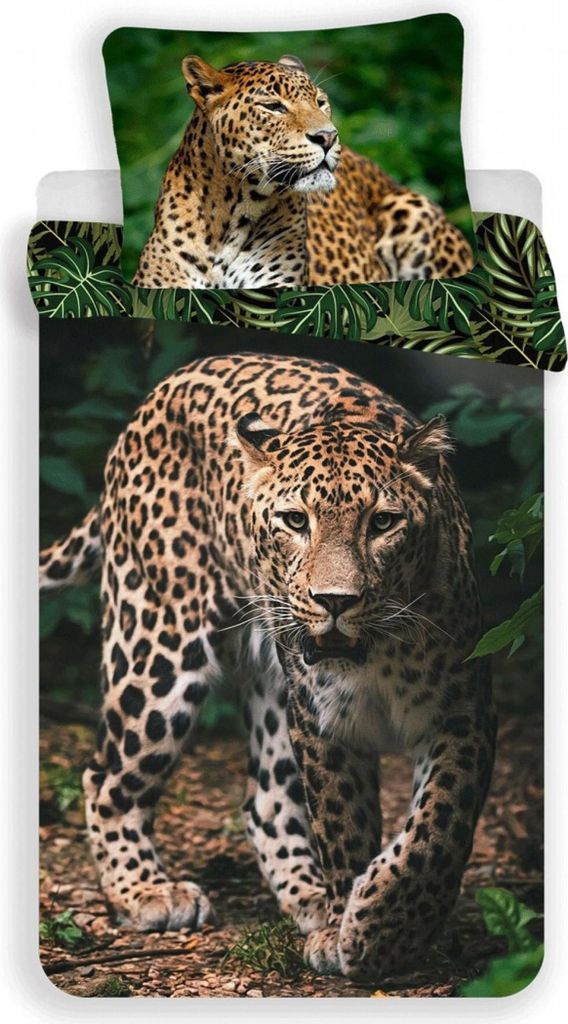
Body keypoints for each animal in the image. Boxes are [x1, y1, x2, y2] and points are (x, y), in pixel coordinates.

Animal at [40, 352, 496, 979]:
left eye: (383, 523)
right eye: (295, 521)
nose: (335, 601)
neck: (376, 654)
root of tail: (158, 393)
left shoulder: (462, 711)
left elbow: (438, 827)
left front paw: (383, 925)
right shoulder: (322, 723)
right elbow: (344, 826)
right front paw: (355, 929)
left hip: (270, 686)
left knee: (265, 801)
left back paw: (308, 898)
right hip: (158, 644)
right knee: (106, 775)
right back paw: (147, 891)